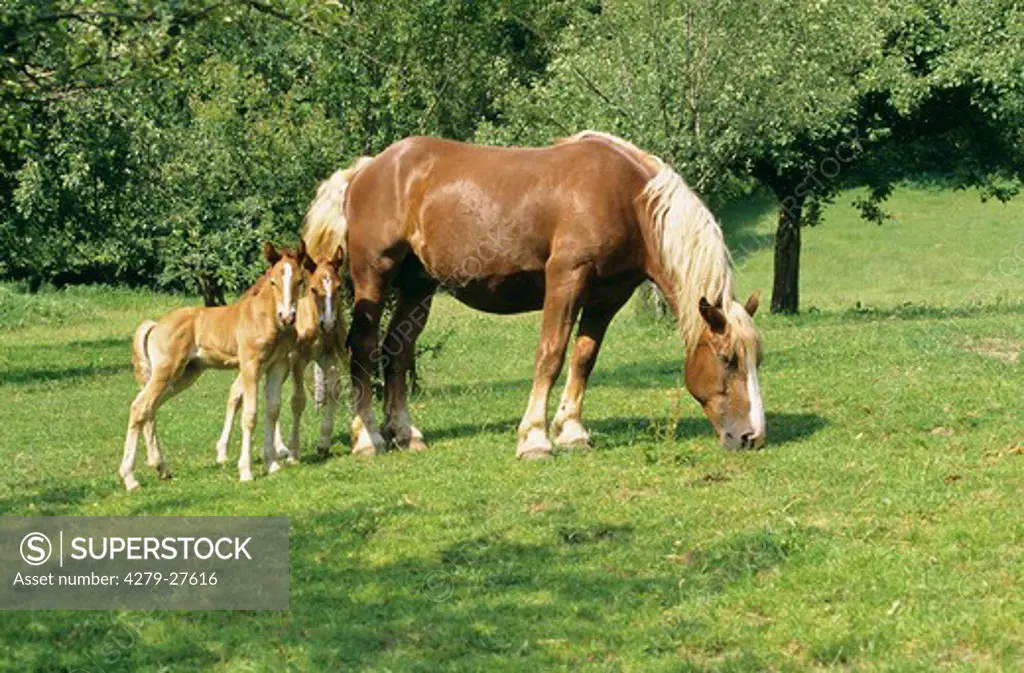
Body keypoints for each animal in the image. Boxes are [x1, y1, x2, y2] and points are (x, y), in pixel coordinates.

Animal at [120, 241, 307, 487]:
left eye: (300, 281)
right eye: (274, 281)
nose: (287, 316)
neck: (265, 319)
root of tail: (156, 325)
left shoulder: (278, 365)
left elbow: (273, 410)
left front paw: (272, 464)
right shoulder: (251, 365)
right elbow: (250, 415)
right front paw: (245, 471)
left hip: (184, 375)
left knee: (150, 407)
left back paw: (162, 468)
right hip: (166, 372)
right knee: (139, 407)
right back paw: (130, 478)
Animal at [301, 131, 761, 456]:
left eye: (756, 359)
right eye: (727, 359)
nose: (751, 436)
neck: (624, 196)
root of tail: (365, 169)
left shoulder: (607, 297)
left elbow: (584, 357)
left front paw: (572, 430)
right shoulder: (566, 279)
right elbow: (552, 354)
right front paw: (535, 438)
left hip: (419, 288)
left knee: (396, 351)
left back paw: (405, 432)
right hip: (373, 276)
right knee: (363, 347)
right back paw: (367, 437)